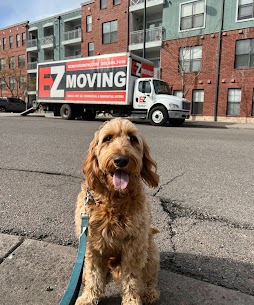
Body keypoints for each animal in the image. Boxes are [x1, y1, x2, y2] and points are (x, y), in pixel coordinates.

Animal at [74, 117, 160, 304]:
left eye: (133, 139)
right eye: (107, 138)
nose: (121, 160)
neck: (112, 201)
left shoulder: (134, 247)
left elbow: (132, 279)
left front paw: (132, 300)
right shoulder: (92, 246)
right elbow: (93, 275)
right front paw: (89, 297)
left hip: (151, 251)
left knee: (149, 278)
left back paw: (150, 293)